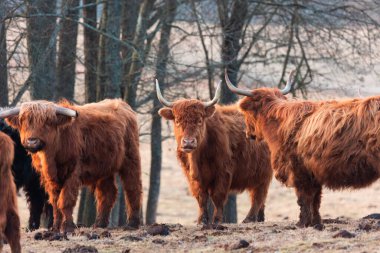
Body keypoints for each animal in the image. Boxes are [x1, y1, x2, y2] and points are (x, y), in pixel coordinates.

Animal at [0, 99, 142, 233]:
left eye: (47, 121)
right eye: (23, 121)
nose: (32, 141)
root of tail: (123, 104)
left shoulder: (73, 172)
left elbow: (65, 200)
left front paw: (68, 227)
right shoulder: (49, 178)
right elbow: (55, 202)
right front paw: (56, 228)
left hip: (131, 158)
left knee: (133, 188)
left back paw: (132, 224)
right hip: (104, 168)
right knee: (107, 193)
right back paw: (99, 224)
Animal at [156, 80, 272, 224]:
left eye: (200, 120)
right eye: (177, 120)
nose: (188, 142)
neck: (197, 158)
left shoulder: (223, 172)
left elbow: (218, 197)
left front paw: (217, 220)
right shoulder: (192, 177)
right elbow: (201, 198)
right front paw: (202, 220)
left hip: (264, 172)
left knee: (258, 194)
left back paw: (249, 219)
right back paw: (259, 218)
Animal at [226, 70, 380, 227]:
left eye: (247, 114)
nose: (248, 134)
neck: (279, 124)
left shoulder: (297, 170)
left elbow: (303, 199)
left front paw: (302, 223)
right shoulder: (313, 173)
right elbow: (315, 200)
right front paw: (316, 223)